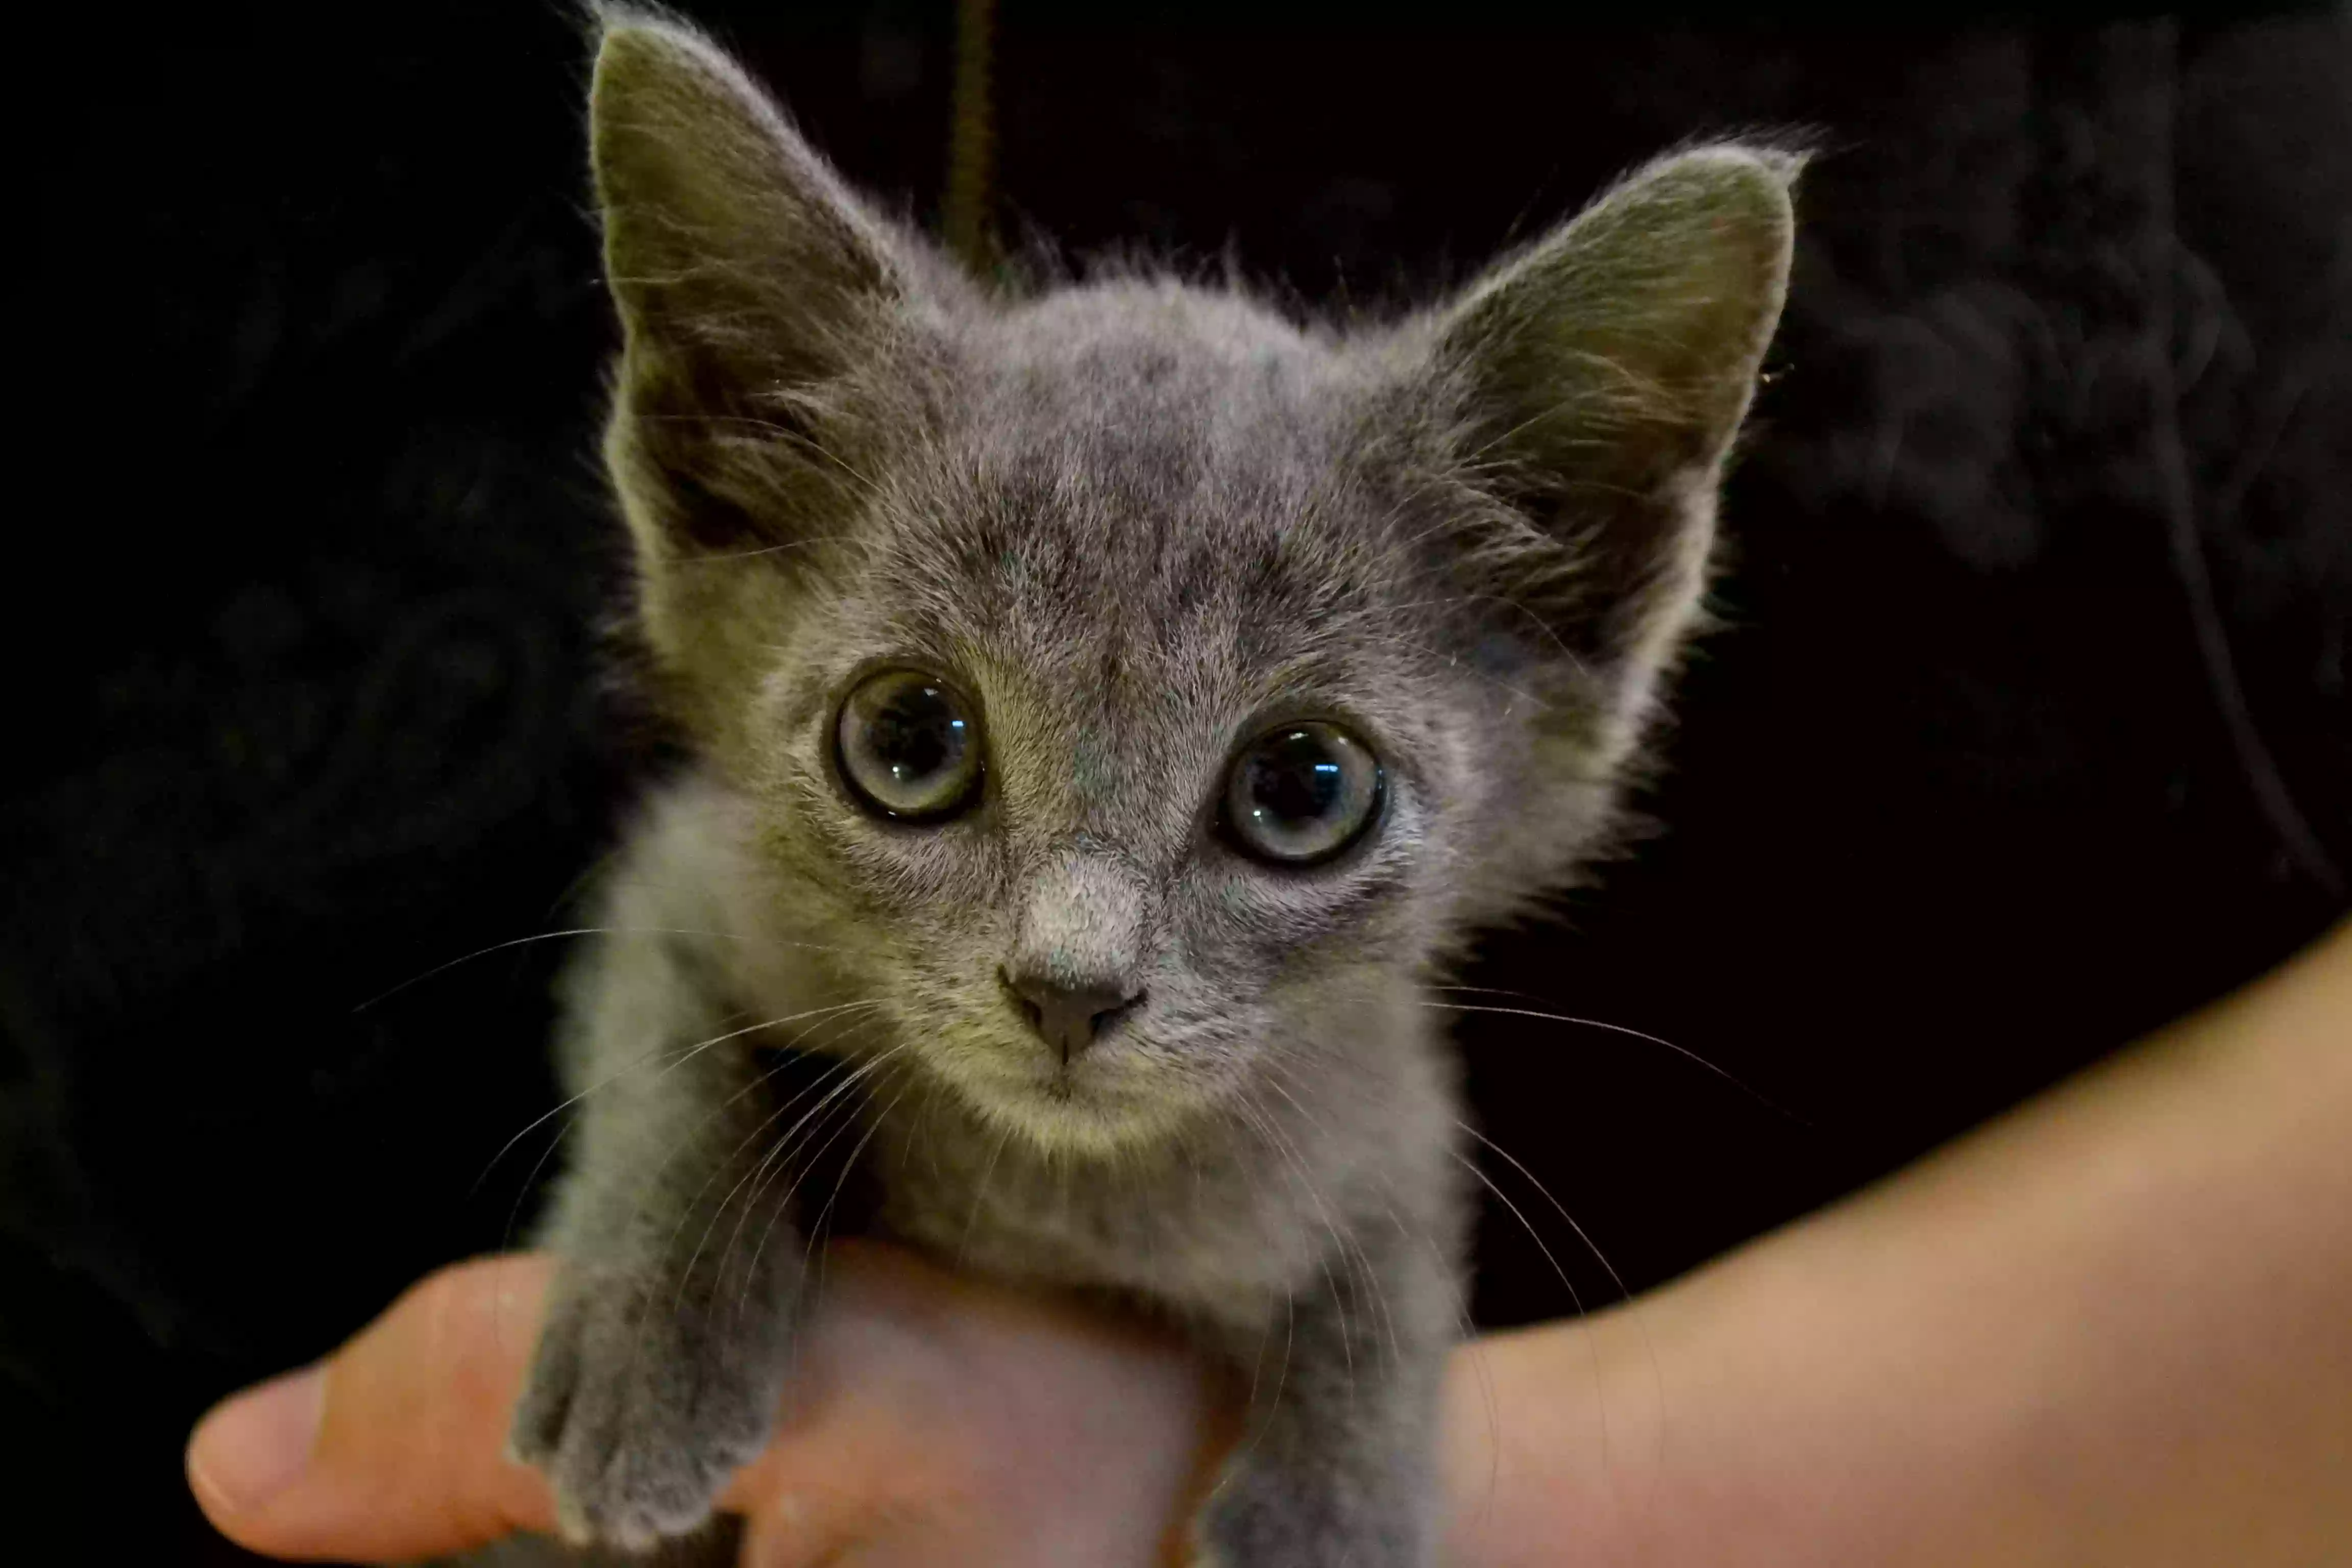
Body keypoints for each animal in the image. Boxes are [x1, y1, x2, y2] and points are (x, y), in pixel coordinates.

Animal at [505, 12, 1787, 1568]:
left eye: (1304, 786)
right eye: (909, 741)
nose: (1071, 987)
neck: (1060, 1196)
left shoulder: (1385, 1089)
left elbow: (1398, 1247)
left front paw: (1335, 1510)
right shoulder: (694, 875)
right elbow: (675, 1056)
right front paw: (644, 1341)